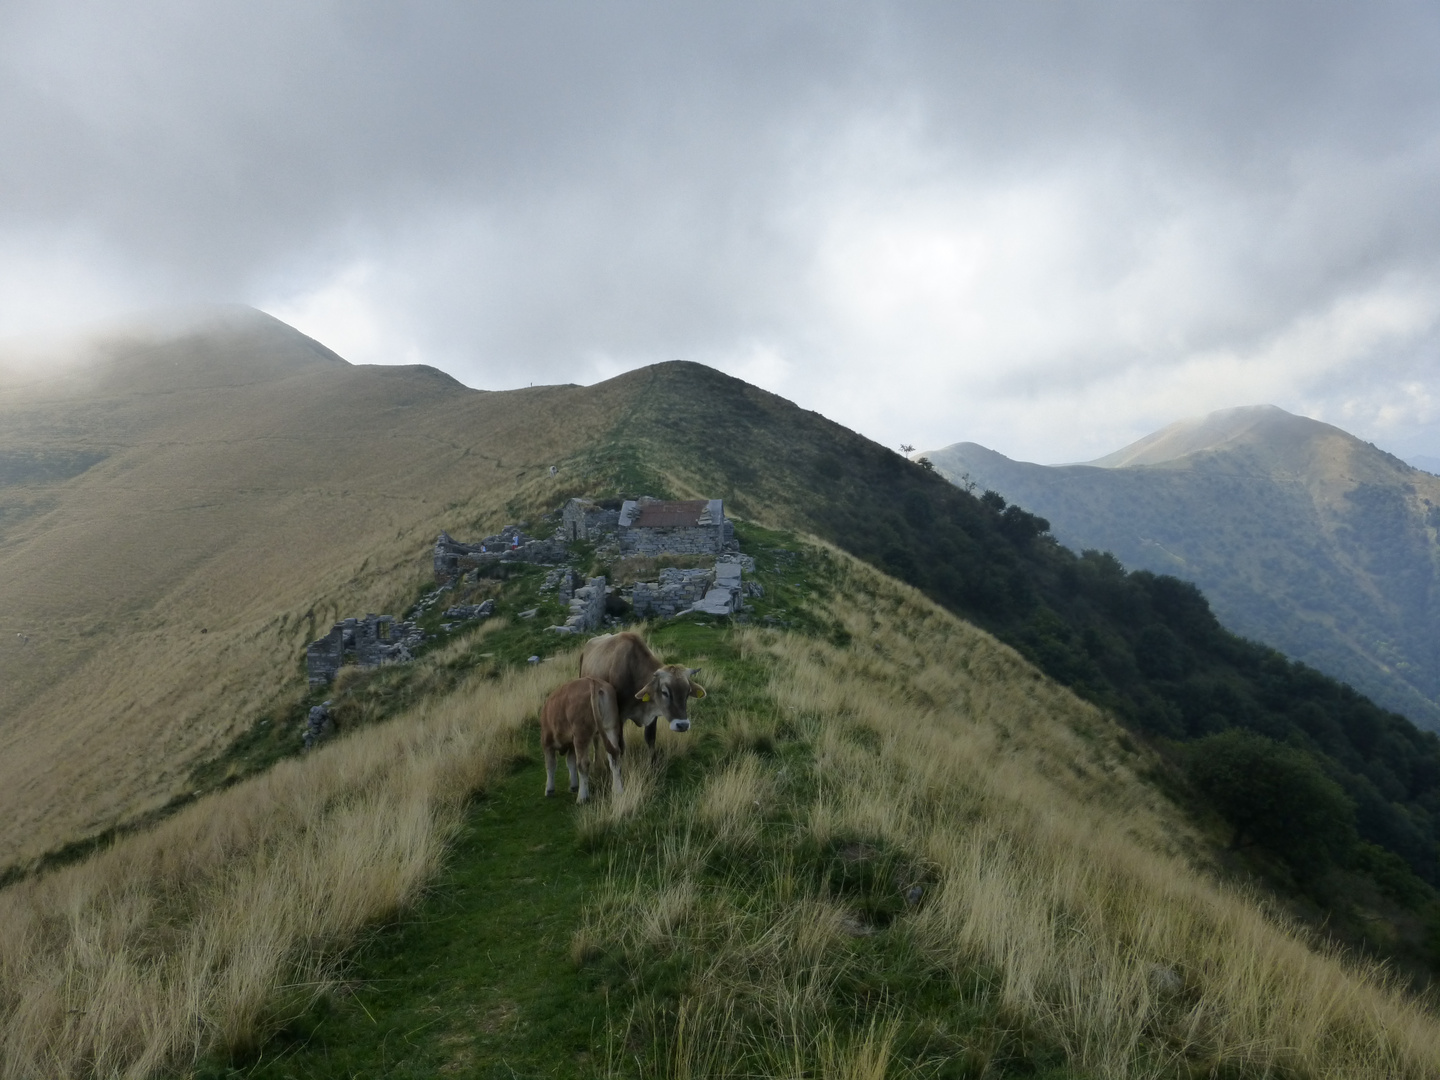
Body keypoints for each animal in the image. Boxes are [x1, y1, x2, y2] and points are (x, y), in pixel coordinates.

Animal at [538, 676, 622, 806]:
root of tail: (593, 682)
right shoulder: (572, 744)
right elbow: (570, 762)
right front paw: (573, 785)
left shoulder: (547, 743)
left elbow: (551, 765)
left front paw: (549, 789)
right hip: (610, 728)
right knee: (614, 756)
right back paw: (618, 790)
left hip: (581, 733)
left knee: (583, 764)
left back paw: (582, 797)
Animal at [576, 633, 705, 754]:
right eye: (665, 692)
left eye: (688, 692)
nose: (683, 725)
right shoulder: (619, 717)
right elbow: (620, 746)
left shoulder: (652, 714)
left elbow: (650, 740)